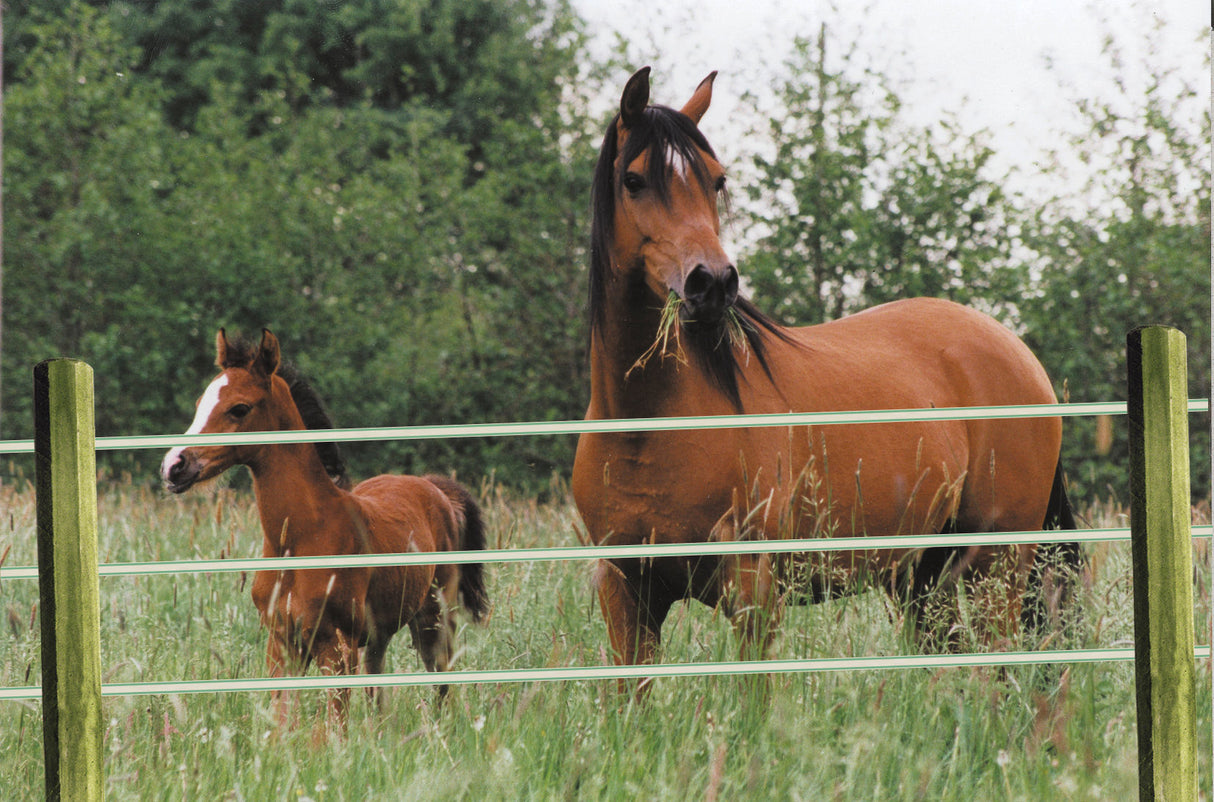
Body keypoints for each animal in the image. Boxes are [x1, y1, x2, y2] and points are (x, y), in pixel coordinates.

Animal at [163, 327, 490, 723]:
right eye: (200, 403)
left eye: (239, 408)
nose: (174, 466)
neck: (301, 538)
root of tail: (434, 487)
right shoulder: (282, 644)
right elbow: (283, 723)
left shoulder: (336, 646)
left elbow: (333, 726)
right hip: (380, 634)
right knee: (378, 686)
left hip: (435, 619)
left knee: (441, 682)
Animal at [573, 68, 1078, 684]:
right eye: (634, 180)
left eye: (716, 181)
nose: (712, 283)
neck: (647, 424)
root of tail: (1019, 353)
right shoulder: (626, 592)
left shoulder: (754, 591)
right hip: (923, 577)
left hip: (995, 565)